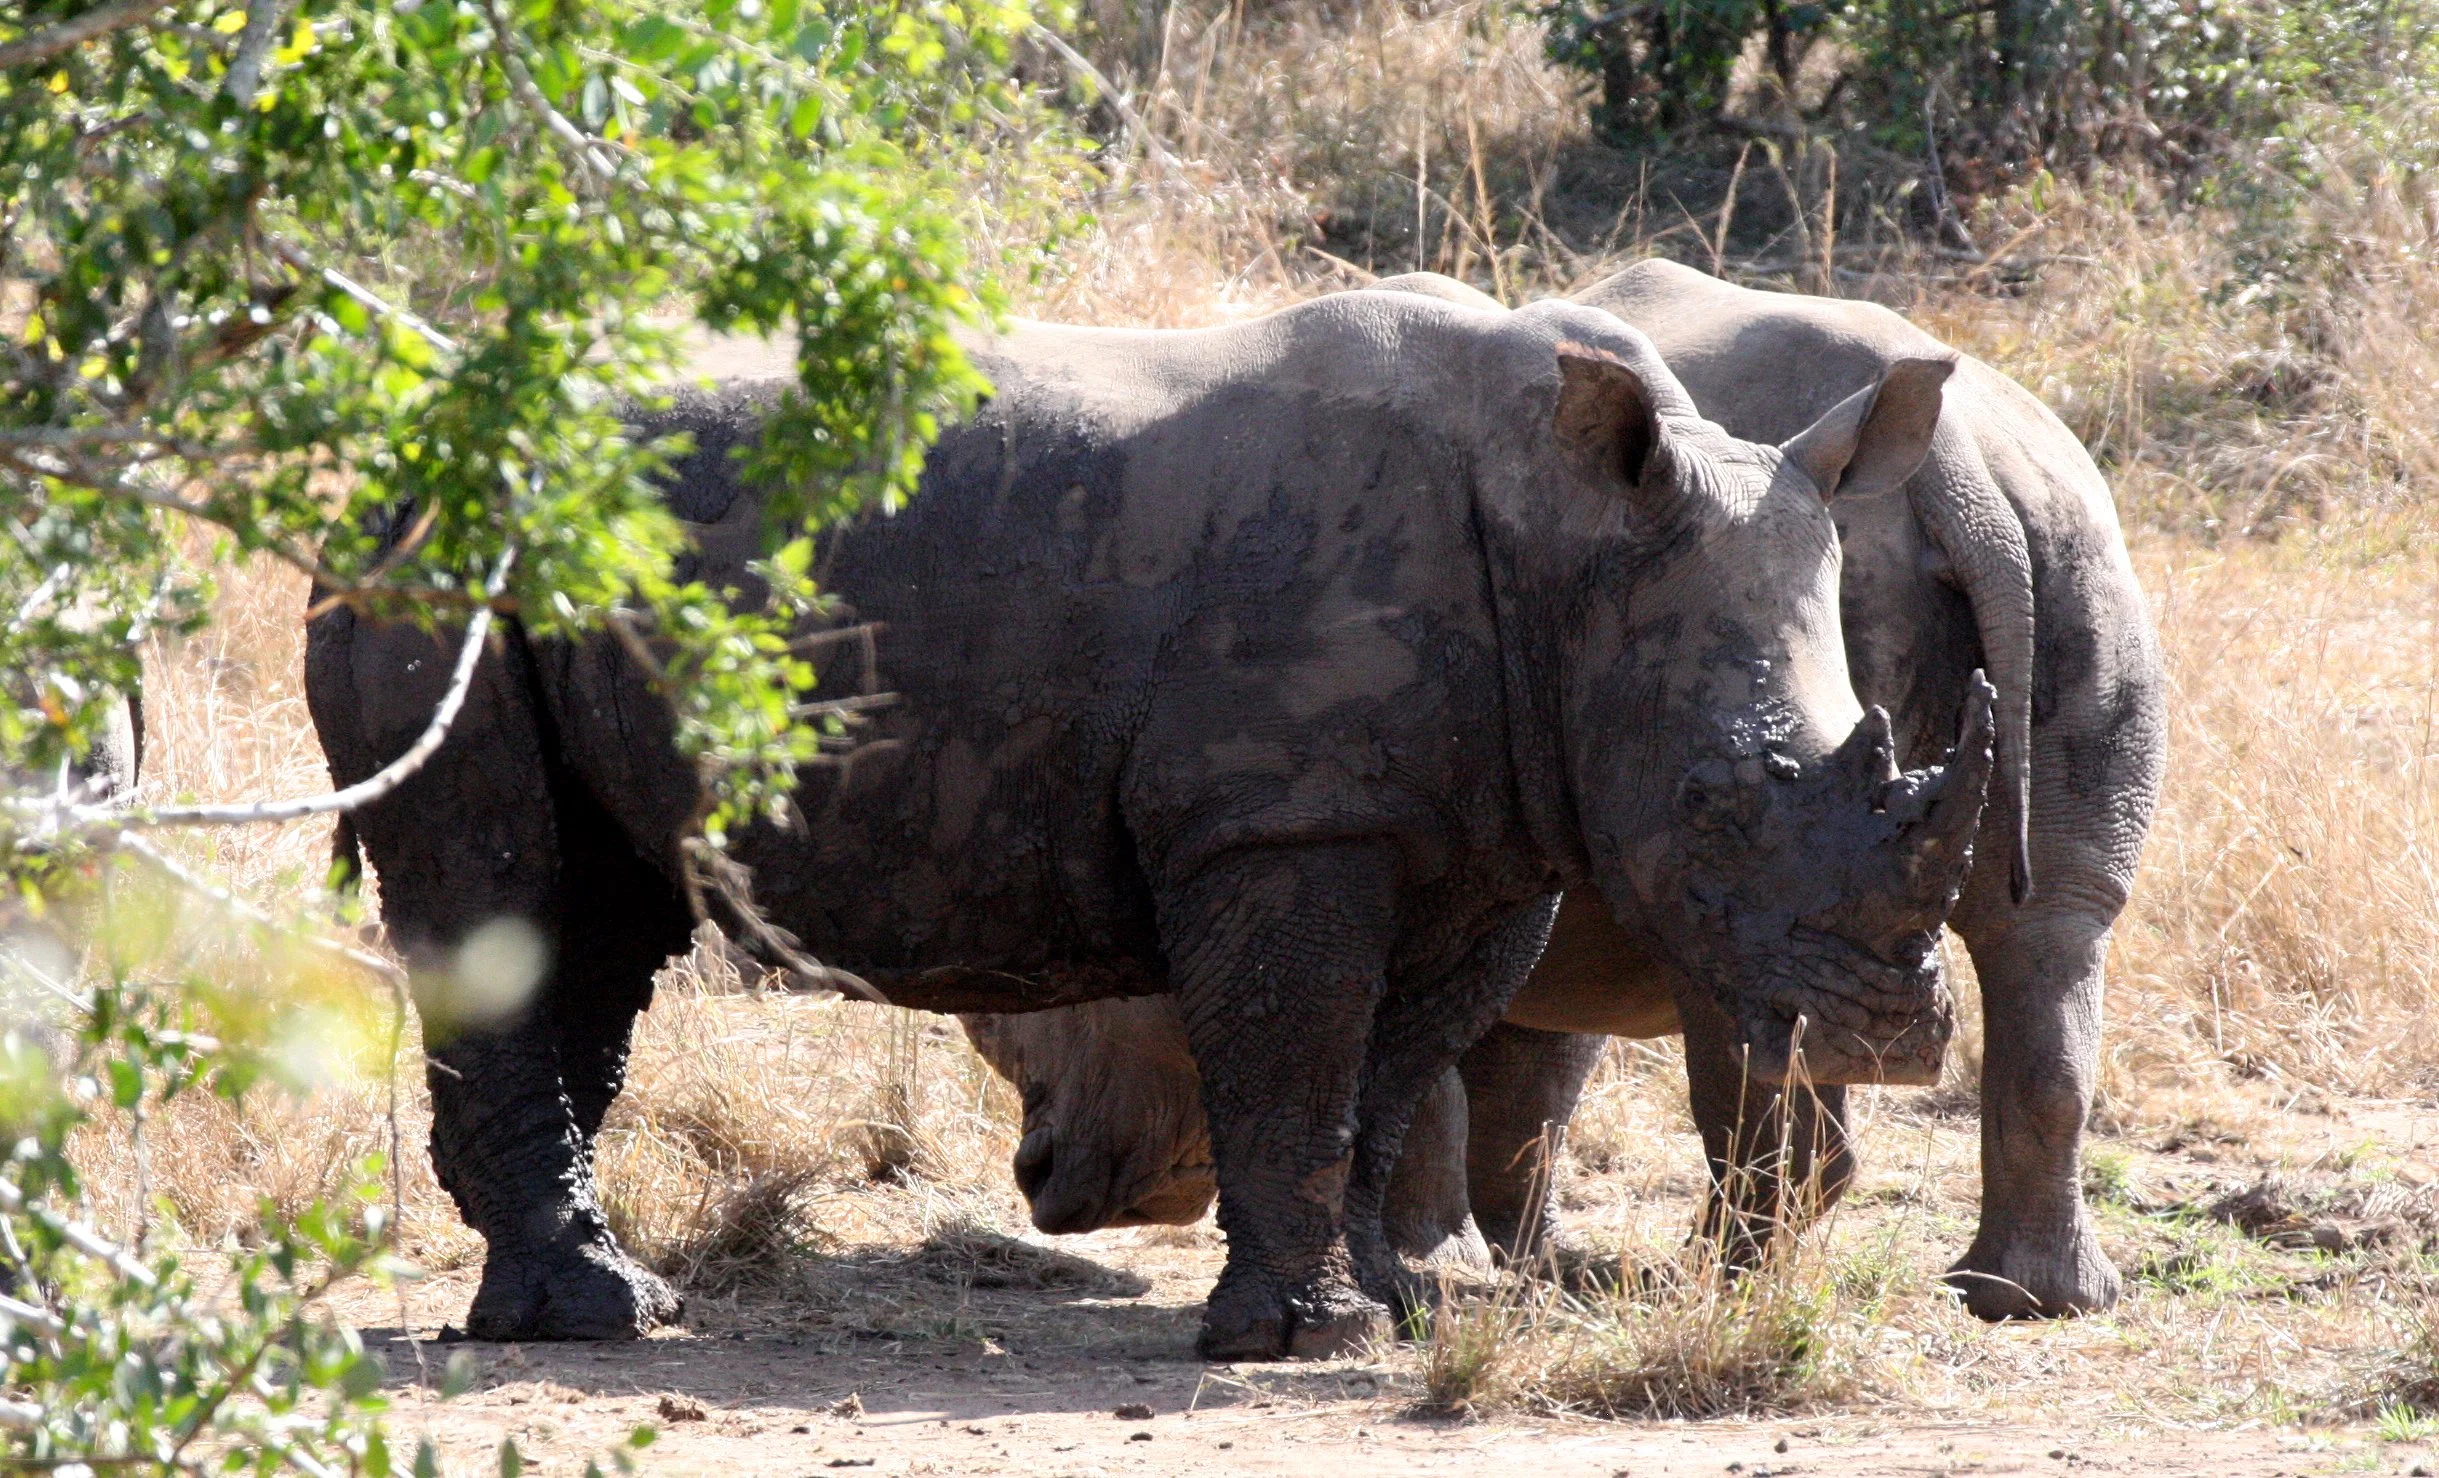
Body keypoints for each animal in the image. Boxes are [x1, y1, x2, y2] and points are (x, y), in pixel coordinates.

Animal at [306, 288, 1992, 1357]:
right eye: (1715, 808)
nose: (1893, 1041)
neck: (1569, 544)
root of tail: (382, 461)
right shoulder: (1281, 817)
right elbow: (1296, 1051)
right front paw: (1298, 1338)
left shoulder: (1487, 831)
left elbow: (1390, 1070)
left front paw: (1386, 1309)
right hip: (443, 559)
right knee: (501, 877)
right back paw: (589, 1321)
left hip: (541, 563)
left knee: (591, 913)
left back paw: (610, 1303)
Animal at [959, 260, 2168, 1321]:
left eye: (1061, 1035)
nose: (1047, 1183)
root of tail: (1967, 477)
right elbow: (1525, 1080)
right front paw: (1514, 1259)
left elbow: (1447, 1080)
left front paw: (1437, 1263)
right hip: (2074, 539)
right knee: (2047, 926)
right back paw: (2016, 1299)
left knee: (1760, 966)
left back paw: (1711, 1287)